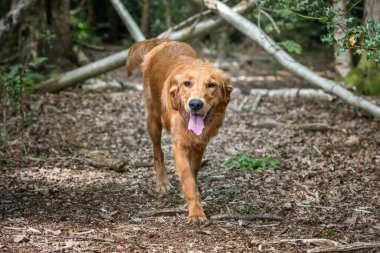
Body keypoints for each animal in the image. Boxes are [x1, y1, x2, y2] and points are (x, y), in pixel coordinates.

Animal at [126, 38, 232, 221]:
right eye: (187, 83)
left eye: (211, 85)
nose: (195, 104)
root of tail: (165, 40)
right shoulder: (180, 146)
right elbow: (187, 178)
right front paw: (196, 212)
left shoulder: (199, 145)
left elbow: (193, 172)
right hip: (153, 120)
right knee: (157, 151)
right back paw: (162, 182)